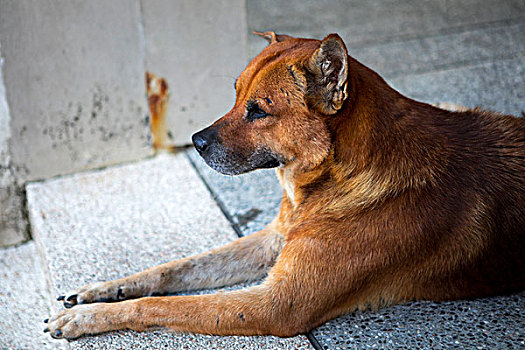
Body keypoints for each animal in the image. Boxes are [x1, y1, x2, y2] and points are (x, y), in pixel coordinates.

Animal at [45, 32, 524, 340]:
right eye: (236, 94)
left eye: (259, 111)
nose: (195, 142)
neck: (329, 181)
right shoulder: (273, 238)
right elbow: (172, 269)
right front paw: (103, 290)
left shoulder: (275, 304)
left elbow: (162, 305)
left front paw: (89, 317)